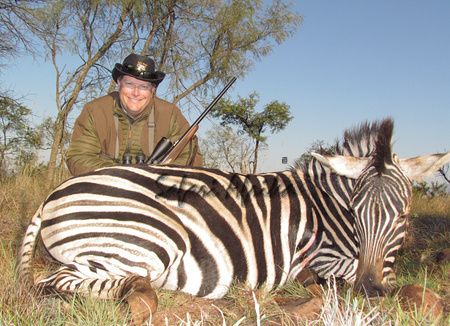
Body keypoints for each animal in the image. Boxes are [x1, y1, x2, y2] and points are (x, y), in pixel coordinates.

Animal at [18, 119, 450, 324]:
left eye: (404, 215)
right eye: (355, 213)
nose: (369, 290)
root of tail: (52, 195)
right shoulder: (326, 261)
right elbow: (418, 292)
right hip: (153, 240)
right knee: (52, 281)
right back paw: (139, 298)